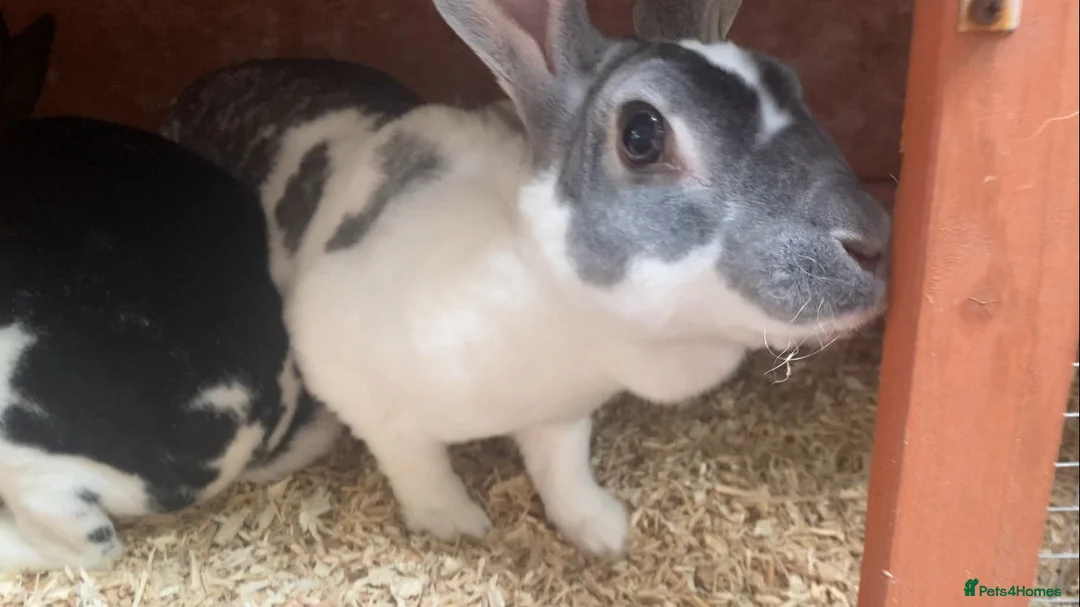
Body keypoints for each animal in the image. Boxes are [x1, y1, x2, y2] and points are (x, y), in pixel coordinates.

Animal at [160, 0, 891, 557]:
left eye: (789, 80)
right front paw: (455, 523)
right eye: (642, 133)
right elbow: (416, 464)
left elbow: (561, 471)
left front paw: (601, 530)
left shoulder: (562, 417)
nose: (874, 243)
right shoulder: (364, 393)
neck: (555, 302)